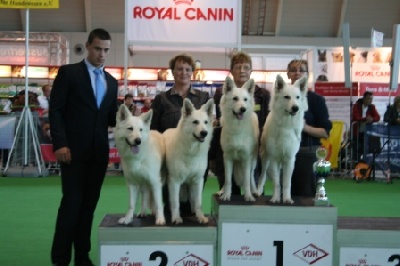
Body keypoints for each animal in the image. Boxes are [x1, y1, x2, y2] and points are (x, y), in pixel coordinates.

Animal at [256, 74, 310, 203]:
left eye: (297, 97)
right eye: (286, 97)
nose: (295, 108)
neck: (286, 124)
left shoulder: (289, 159)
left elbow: (286, 183)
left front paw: (287, 199)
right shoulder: (274, 158)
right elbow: (276, 182)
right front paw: (275, 198)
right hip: (265, 158)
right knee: (262, 176)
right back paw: (258, 191)